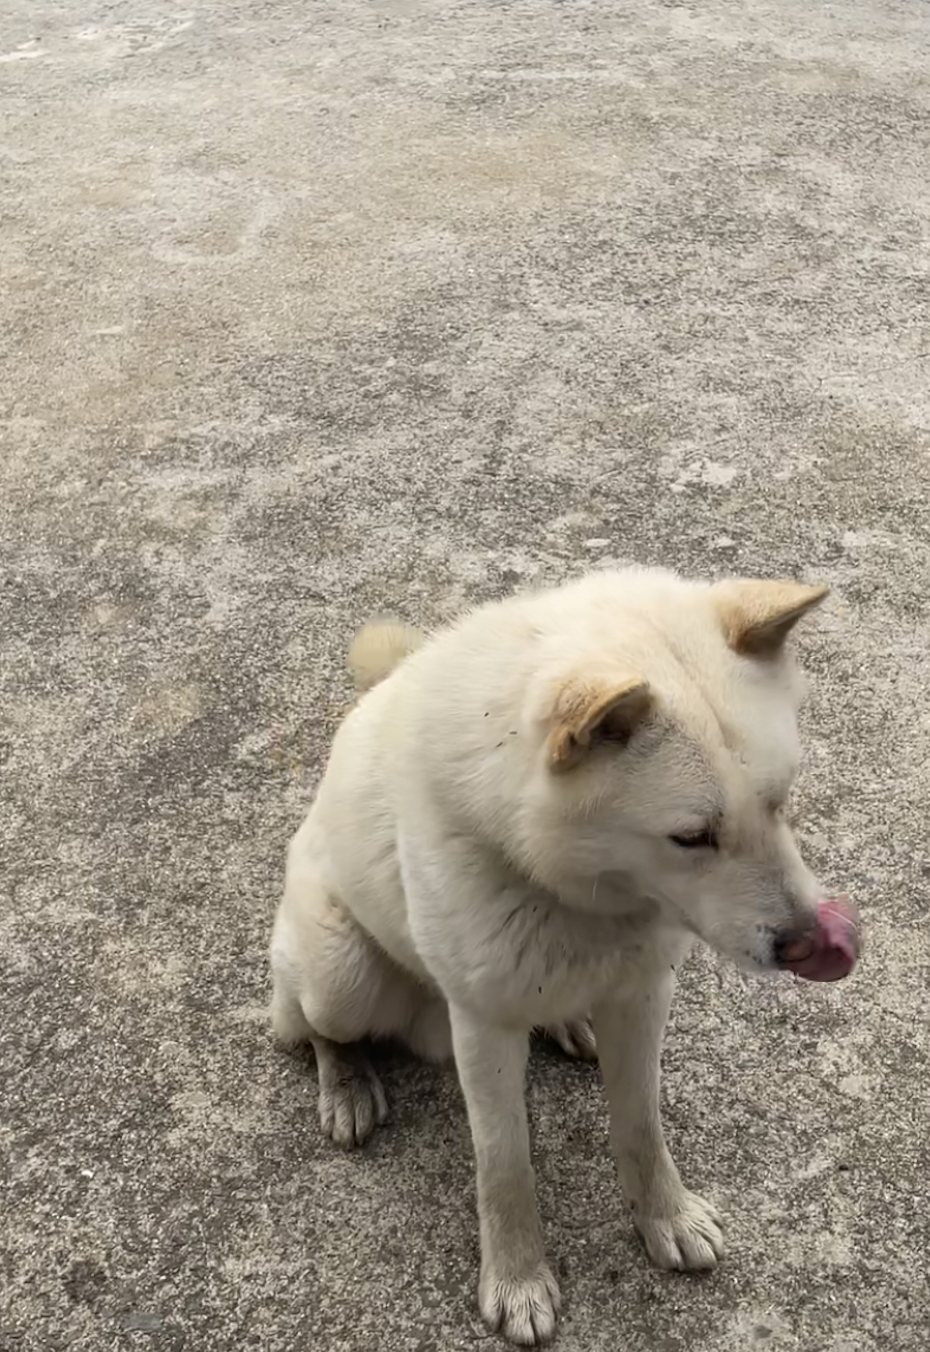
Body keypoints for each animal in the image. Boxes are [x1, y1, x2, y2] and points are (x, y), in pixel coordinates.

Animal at [269, 568, 859, 1345]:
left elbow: (641, 1127)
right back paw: (345, 1083)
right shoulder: (483, 1028)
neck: (573, 886)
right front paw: (518, 1280)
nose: (808, 944)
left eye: (781, 800)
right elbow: (504, 1166)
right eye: (691, 837)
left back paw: (566, 1022)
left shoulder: (641, 996)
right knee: (314, 1028)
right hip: (341, 974)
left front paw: (665, 1218)